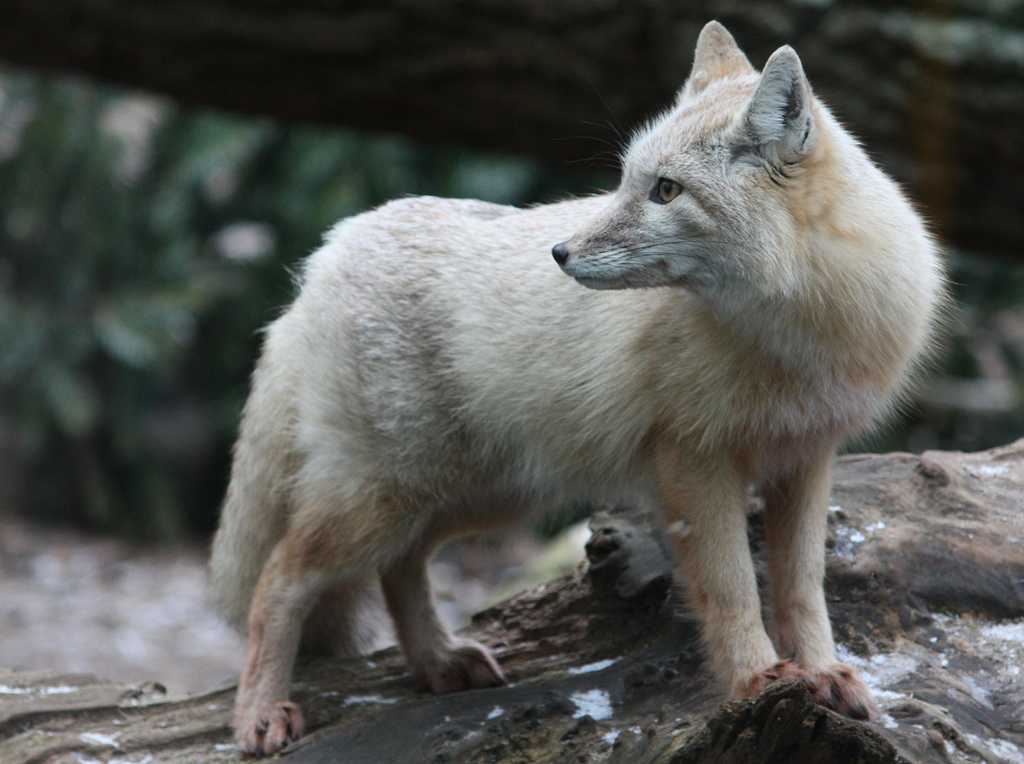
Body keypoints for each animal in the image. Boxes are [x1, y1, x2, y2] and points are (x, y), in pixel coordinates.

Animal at [207, 20, 942, 753]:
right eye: (624, 183)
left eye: (666, 191)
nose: (559, 253)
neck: (798, 334)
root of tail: (330, 251)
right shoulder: (694, 463)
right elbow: (733, 588)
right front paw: (759, 681)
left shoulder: (806, 458)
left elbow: (802, 587)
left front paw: (823, 674)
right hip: (388, 500)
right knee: (279, 579)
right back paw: (259, 713)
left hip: (475, 496)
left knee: (401, 567)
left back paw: (437, 661)